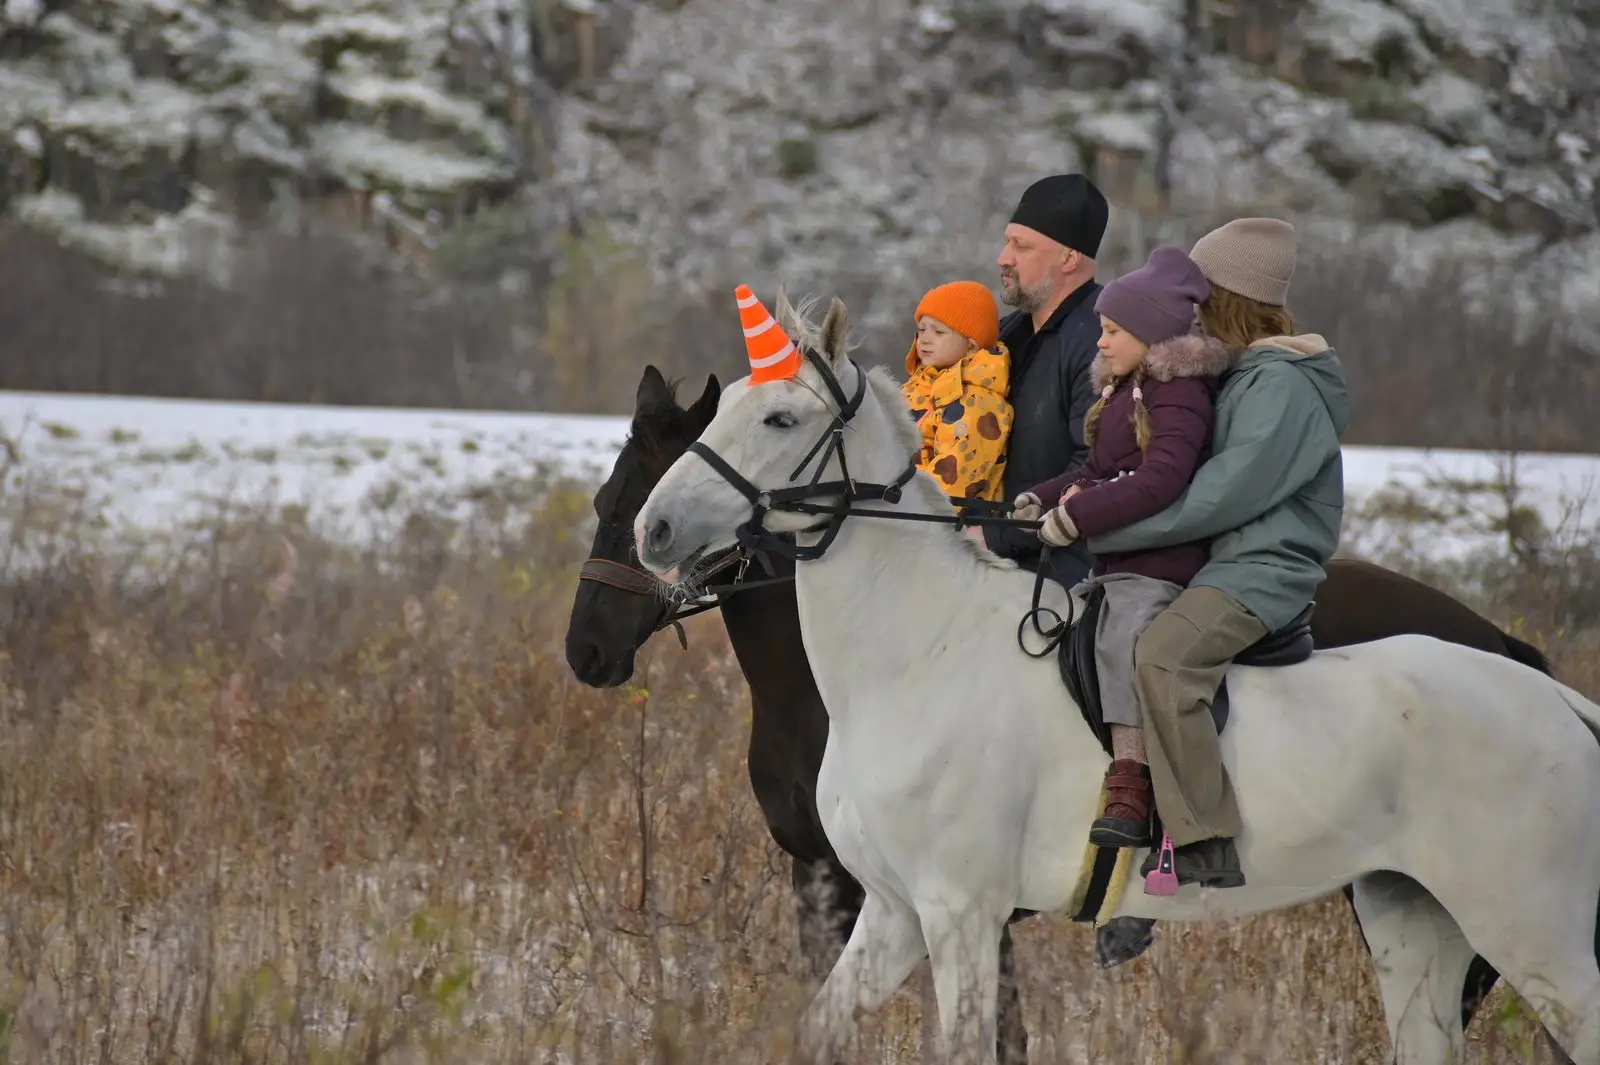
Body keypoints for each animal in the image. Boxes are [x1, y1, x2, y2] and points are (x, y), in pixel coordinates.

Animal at [630, 292, 1593, 1061]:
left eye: (780, 420)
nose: (654, 528)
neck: (918, 655)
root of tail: (1556, 699)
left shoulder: (961, 914)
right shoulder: (892, 913)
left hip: (1532, 933)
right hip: (1414, 921)